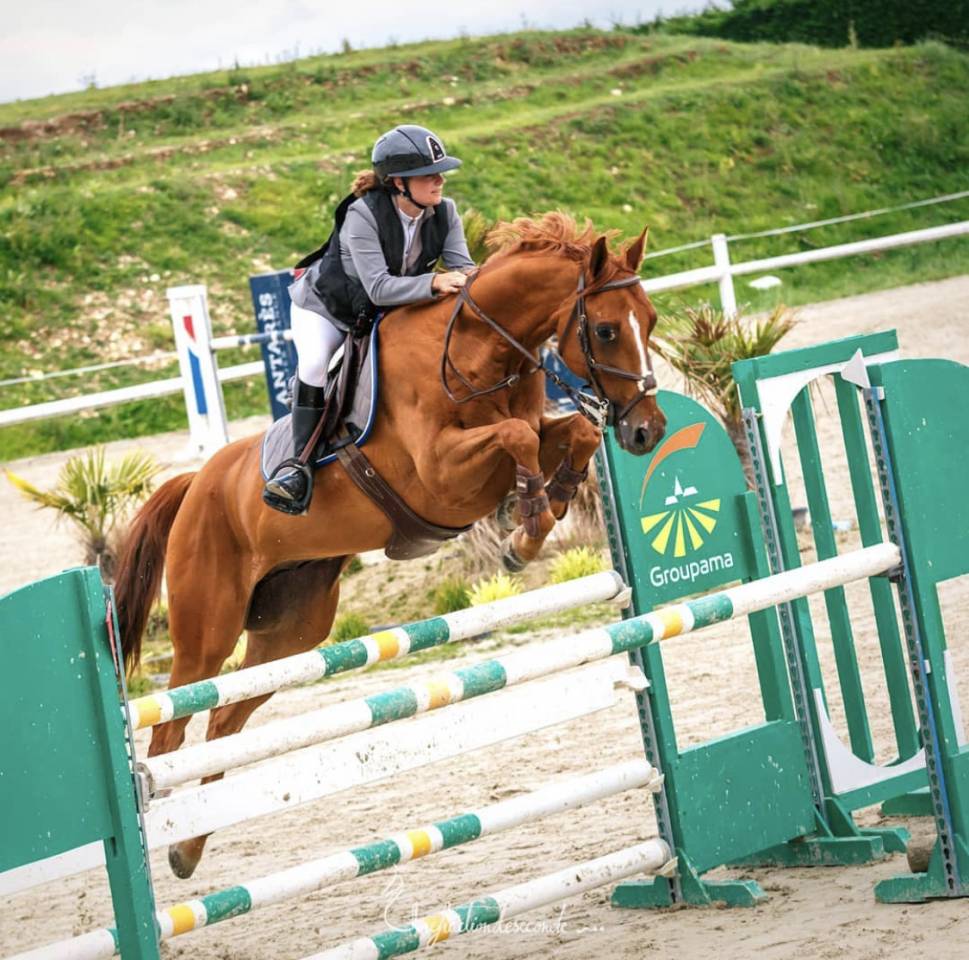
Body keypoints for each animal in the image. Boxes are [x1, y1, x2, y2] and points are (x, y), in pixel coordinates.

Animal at [113, 212, 667, 879]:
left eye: (651, 321)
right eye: (607, 330)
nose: (648, 431)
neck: (474, 352)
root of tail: (196, 483)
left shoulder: (527, 436)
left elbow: (572, 432)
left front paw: (543, 513)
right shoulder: (442, 476)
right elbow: (515, 437)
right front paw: (528, 521)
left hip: (289, 634)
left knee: (224, 719)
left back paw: (188, 848)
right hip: (207, 631)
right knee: (172, 731)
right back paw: (174, 840)